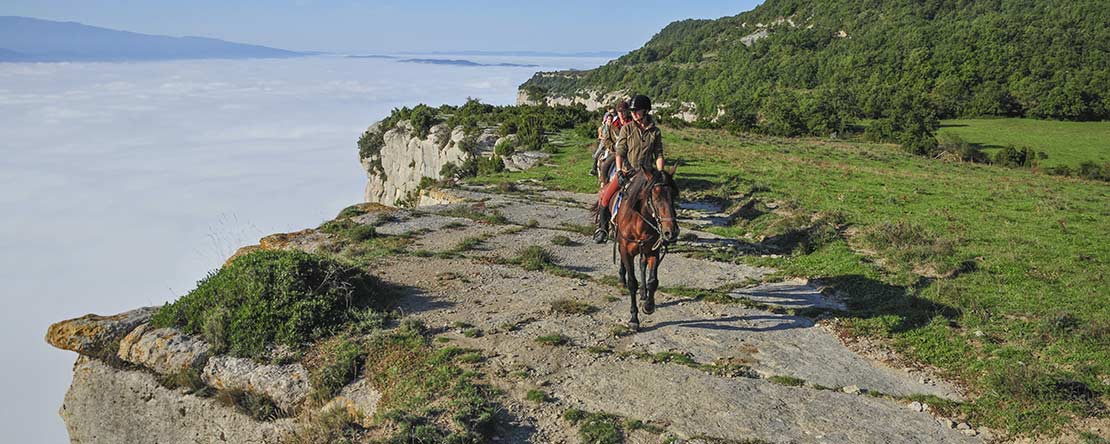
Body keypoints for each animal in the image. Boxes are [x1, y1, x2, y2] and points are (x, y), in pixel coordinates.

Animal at [608, 166, 680, 331]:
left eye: (673, 195)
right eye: (655, 195)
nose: (671, 232)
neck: (638, 223)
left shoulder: (653, 251)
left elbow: (653, 280)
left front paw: (648, 305)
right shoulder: (626, 251)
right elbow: (632, 283)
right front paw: (634, 319)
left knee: (642, 265)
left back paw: (643, 293)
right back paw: (622, 279)